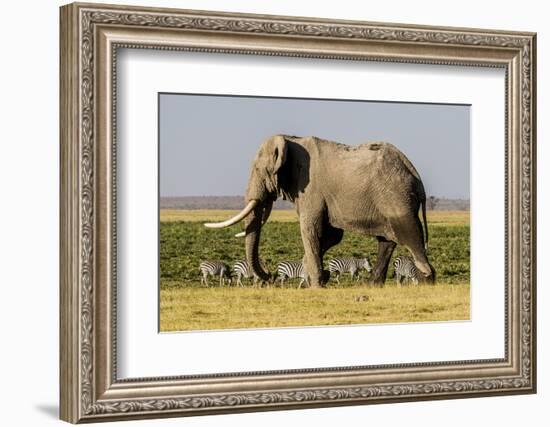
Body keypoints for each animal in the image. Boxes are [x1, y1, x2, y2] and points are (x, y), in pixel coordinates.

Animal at [205, 135, 438, 288]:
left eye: (257, 169)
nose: (270, 276)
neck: (290, 140)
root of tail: (415, 174)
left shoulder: (311, 189)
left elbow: (311, 230)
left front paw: (316, 284)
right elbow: (331, 235)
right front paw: (313, 276)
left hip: (396, 197)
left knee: (409, 234)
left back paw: (427, 280)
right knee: (387, 240)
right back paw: (372, 285)